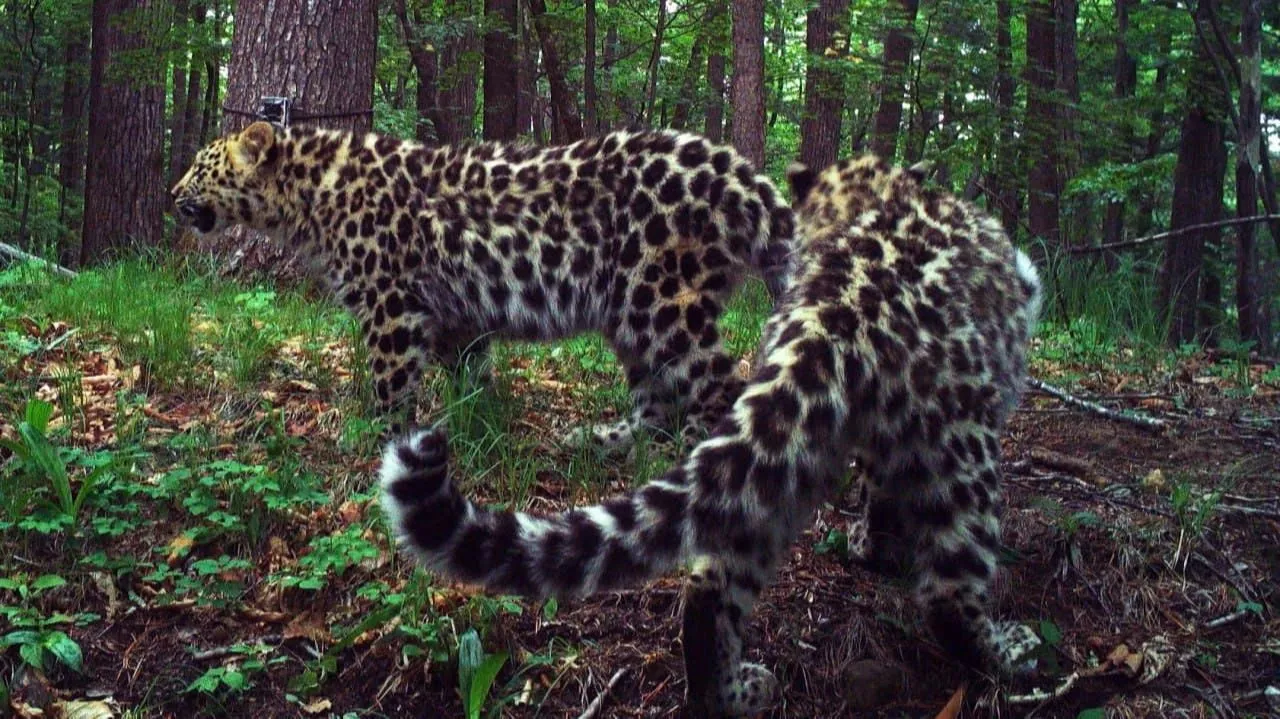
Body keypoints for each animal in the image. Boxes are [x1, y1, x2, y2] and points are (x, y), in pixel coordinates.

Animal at [170, 120, 788, 450]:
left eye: (199, 166)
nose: (172, 194)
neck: (308, 194)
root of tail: (736, 171)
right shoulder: (451, 316)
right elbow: (470, 375)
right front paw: (477, 425)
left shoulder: (391, 305)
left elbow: (391, 383)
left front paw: (379, 439)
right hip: (631, 315)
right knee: (656, 398)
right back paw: (607, 442)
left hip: (662, 299)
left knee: (720, 384)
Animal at [376, 150, 1039, 711]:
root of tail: (838, 311)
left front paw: (872, 545)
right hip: (960, 441)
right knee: (950, 592)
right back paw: (1012, 654)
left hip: (784, 440)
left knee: (711, 577)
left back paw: (736, 690)